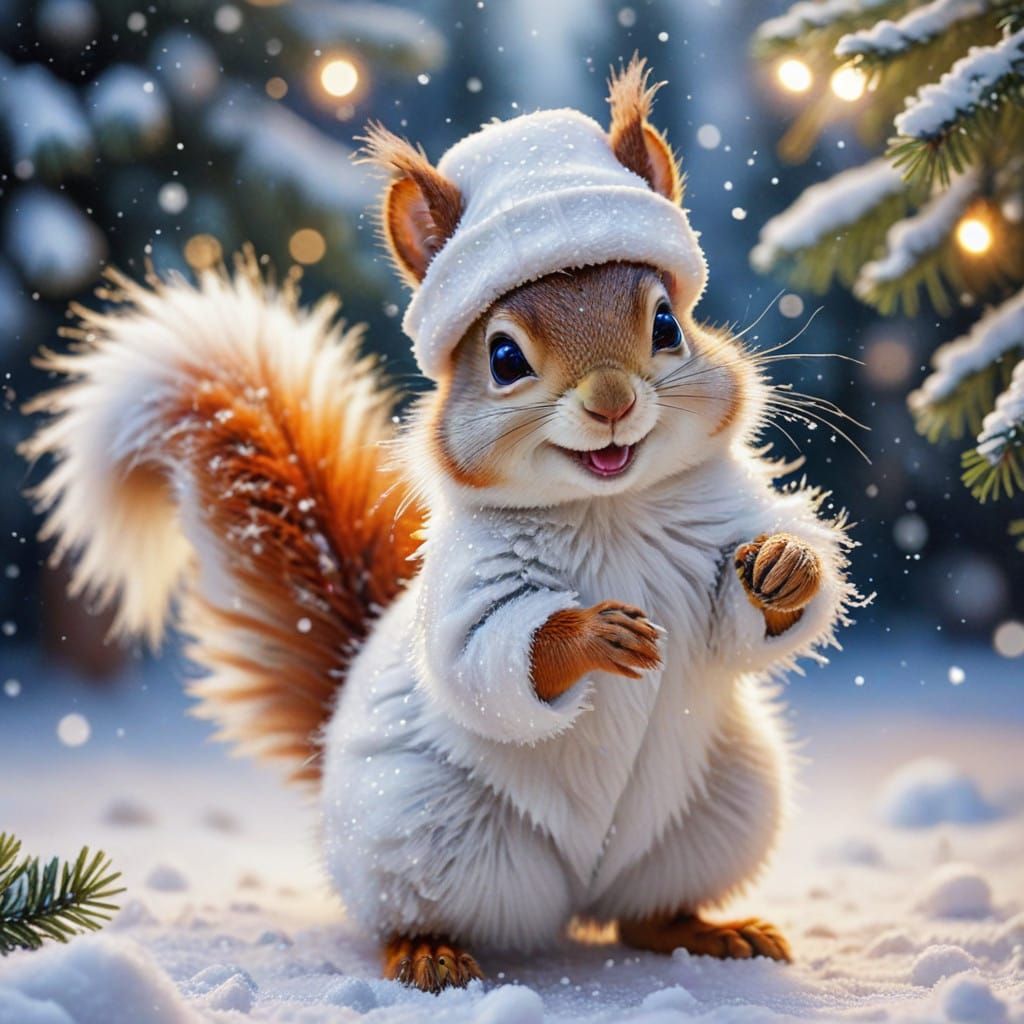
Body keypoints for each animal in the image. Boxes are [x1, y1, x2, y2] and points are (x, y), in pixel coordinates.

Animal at [23, 58, 862, 992]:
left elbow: (742, 622)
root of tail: (580, 893)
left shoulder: (719, 523)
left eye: (668, 324)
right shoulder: (468, 581)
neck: (606, 506)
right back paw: (428, 950)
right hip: (422, 824)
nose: (612, 401)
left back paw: (712, 930)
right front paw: (591, 636)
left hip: (723, 806)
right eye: (503, 357)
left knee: (643, 913)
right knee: (422, 910)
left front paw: (786, 568)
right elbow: (481, 657)